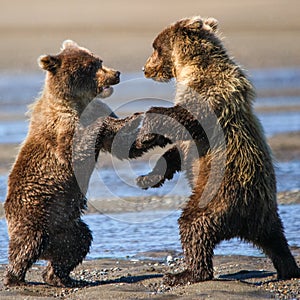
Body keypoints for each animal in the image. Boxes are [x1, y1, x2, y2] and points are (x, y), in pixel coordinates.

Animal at [137, 17, 300, 286]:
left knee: (194, 225)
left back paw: (183, 274)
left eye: (155, 47)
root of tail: (245, 222)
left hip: (217, 197)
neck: (191, 68)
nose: (144, 68)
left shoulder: (209, 95)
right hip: (266, 215)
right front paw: (148, 176)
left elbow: (182, 119)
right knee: (276, 240)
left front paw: (144, 134)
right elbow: (177, 151)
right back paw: (288, 268)